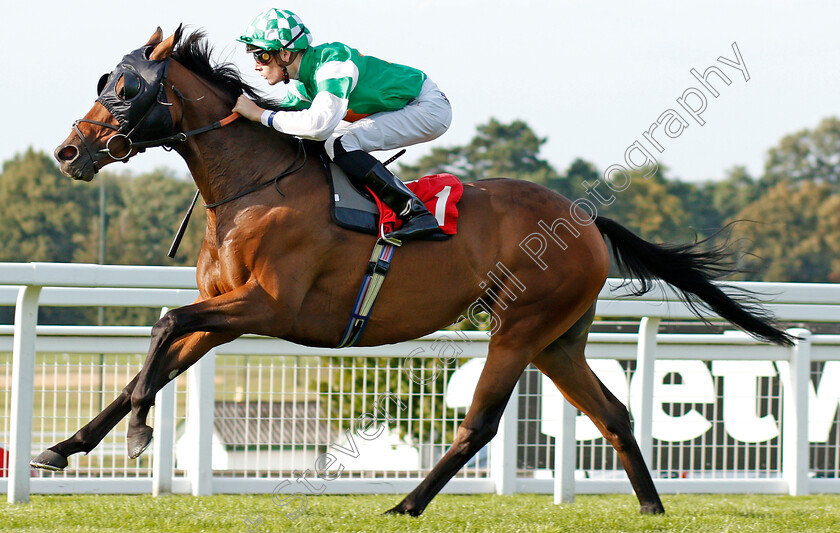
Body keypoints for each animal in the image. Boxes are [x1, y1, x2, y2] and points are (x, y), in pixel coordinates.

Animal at [39, 27, 792, 512]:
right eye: (106, 81)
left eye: (125, 88)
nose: (68, 151)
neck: (254, 184)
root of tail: (584, 221)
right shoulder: (225, 311)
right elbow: (151, 359)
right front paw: (66, 446)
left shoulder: (268, 305)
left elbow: (163, 326)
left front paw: (138, 433)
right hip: (559, 340)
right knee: (612, 415)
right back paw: (651, 508)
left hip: (520, 326)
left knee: (480, 425)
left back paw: (404, 504)